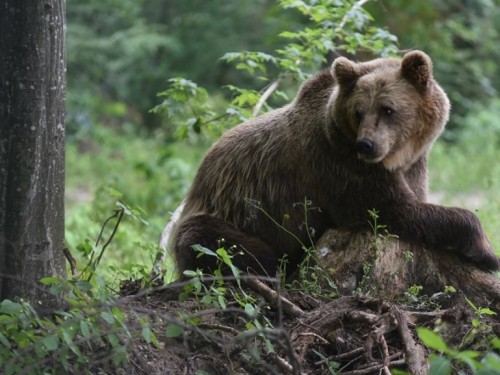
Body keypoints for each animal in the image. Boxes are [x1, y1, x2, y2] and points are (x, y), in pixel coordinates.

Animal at [170, 50, 498, 280]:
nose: (365, 144)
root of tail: (199, 175)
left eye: (387, 109)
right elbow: (391, 210)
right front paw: (486, 251)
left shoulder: (414, 164)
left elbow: (410, 201)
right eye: (358, 111)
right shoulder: (338, 163)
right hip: (222, 213)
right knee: (216, 245)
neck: (396, 157)